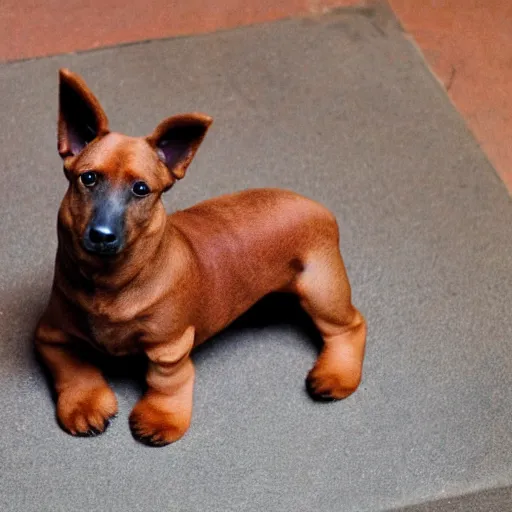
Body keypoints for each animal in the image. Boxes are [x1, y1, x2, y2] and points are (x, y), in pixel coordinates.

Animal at [34, 70, 366, 446]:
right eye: (88, 178)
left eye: (141, 189)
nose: (102, 235)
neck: (109, 283)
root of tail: (319, 208)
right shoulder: (51, 335)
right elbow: (73, 367)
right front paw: (84, 402)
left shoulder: (170, 349)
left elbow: (165, 381)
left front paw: (161, 416)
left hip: (321, 292)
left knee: (350, 327)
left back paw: (336, 374)